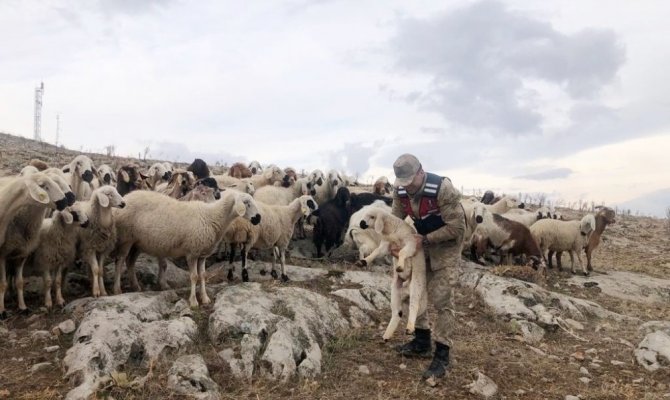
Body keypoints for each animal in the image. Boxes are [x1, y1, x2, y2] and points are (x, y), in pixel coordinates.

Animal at [113, 190, 262, 306]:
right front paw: (193, 301)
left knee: (130, 262)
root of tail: (126, 196)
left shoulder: (202, 254)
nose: (258, 218)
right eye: (246, 202)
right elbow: (194, 276)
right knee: (120, 261)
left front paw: (205, 298)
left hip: (137, 242)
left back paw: (136, 286)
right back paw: (117, 289)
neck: (212, 216)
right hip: (126, 238)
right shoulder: (192, 252)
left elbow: (203, 275)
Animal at [356, 206, 426, 340]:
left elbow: (402, 252)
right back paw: (387, 335)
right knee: (397, 313)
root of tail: (406, 286)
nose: (361, 223)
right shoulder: (387, 245)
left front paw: (400, 267)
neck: (391, 231)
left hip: (417, 283)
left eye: (372, 216)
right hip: (394, 290)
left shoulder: (411, 244)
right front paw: (364, 261)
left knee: (414, 305)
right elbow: (376, 252)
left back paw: (409, 328)